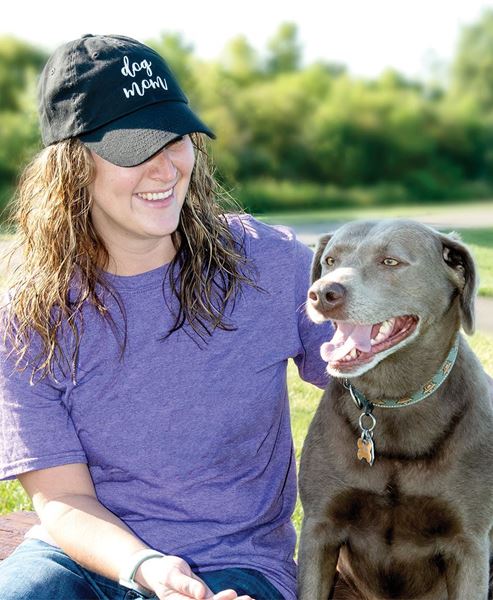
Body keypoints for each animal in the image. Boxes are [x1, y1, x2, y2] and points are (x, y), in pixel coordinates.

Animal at [296, 220, 492, 600]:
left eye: (390, 262)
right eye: (329, 260)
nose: (322, 294)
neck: (393, 401)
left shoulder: (469, 543)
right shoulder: (319, 528)